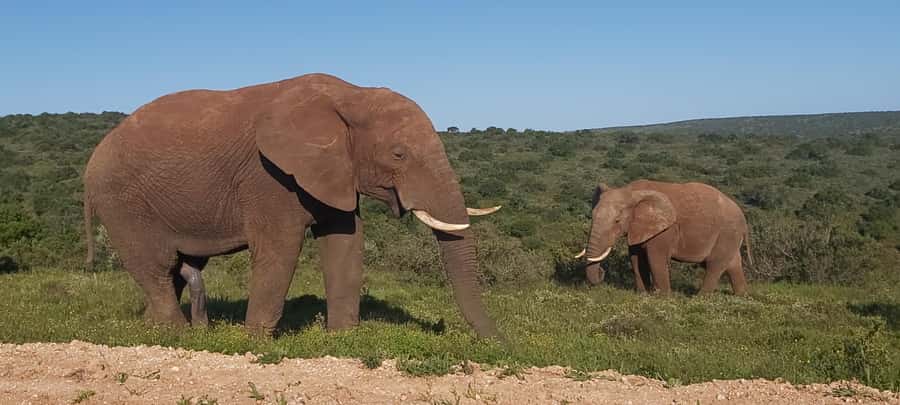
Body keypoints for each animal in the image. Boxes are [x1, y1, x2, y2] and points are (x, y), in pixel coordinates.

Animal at [82, 73, 502, 338]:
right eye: (399, 154)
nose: (498, 345)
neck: (351, 94)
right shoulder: (268, 175)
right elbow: (281, 247)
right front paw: (253, 341)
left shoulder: (333, 172)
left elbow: (345, 242)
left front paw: (343, 339)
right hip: (121, 201)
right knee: (156, 265)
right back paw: (177, 334)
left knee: (176, 270)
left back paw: (156, 327)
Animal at [574, 180, 751, 295]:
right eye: (592, 216)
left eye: (617, 221)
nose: (602, 273)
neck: (631, 192)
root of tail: (743, 218)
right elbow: (636, 259)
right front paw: (643, 295)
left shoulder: (665, 230)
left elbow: (655, 259)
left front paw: (662, 298)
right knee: (733, 264)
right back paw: (741, 297)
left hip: (727, 232)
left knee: (715, 265)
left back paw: (699, 298)